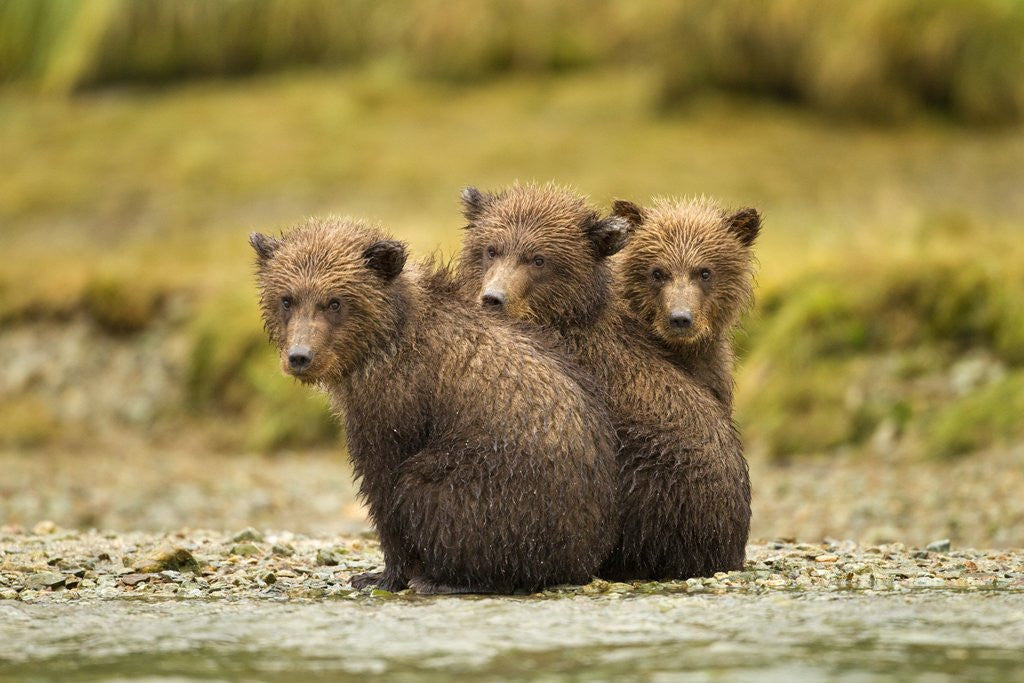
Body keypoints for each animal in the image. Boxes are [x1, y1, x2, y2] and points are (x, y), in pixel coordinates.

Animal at [251, 215, 619, 594]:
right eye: (287, 299)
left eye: (335, 302)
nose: (300, 356)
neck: (381, 342)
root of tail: (584, 557)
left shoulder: (398, 401)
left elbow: (385, 484)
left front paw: (382, 574)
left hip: (501, 482)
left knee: (432, 492)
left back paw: (446, 579)